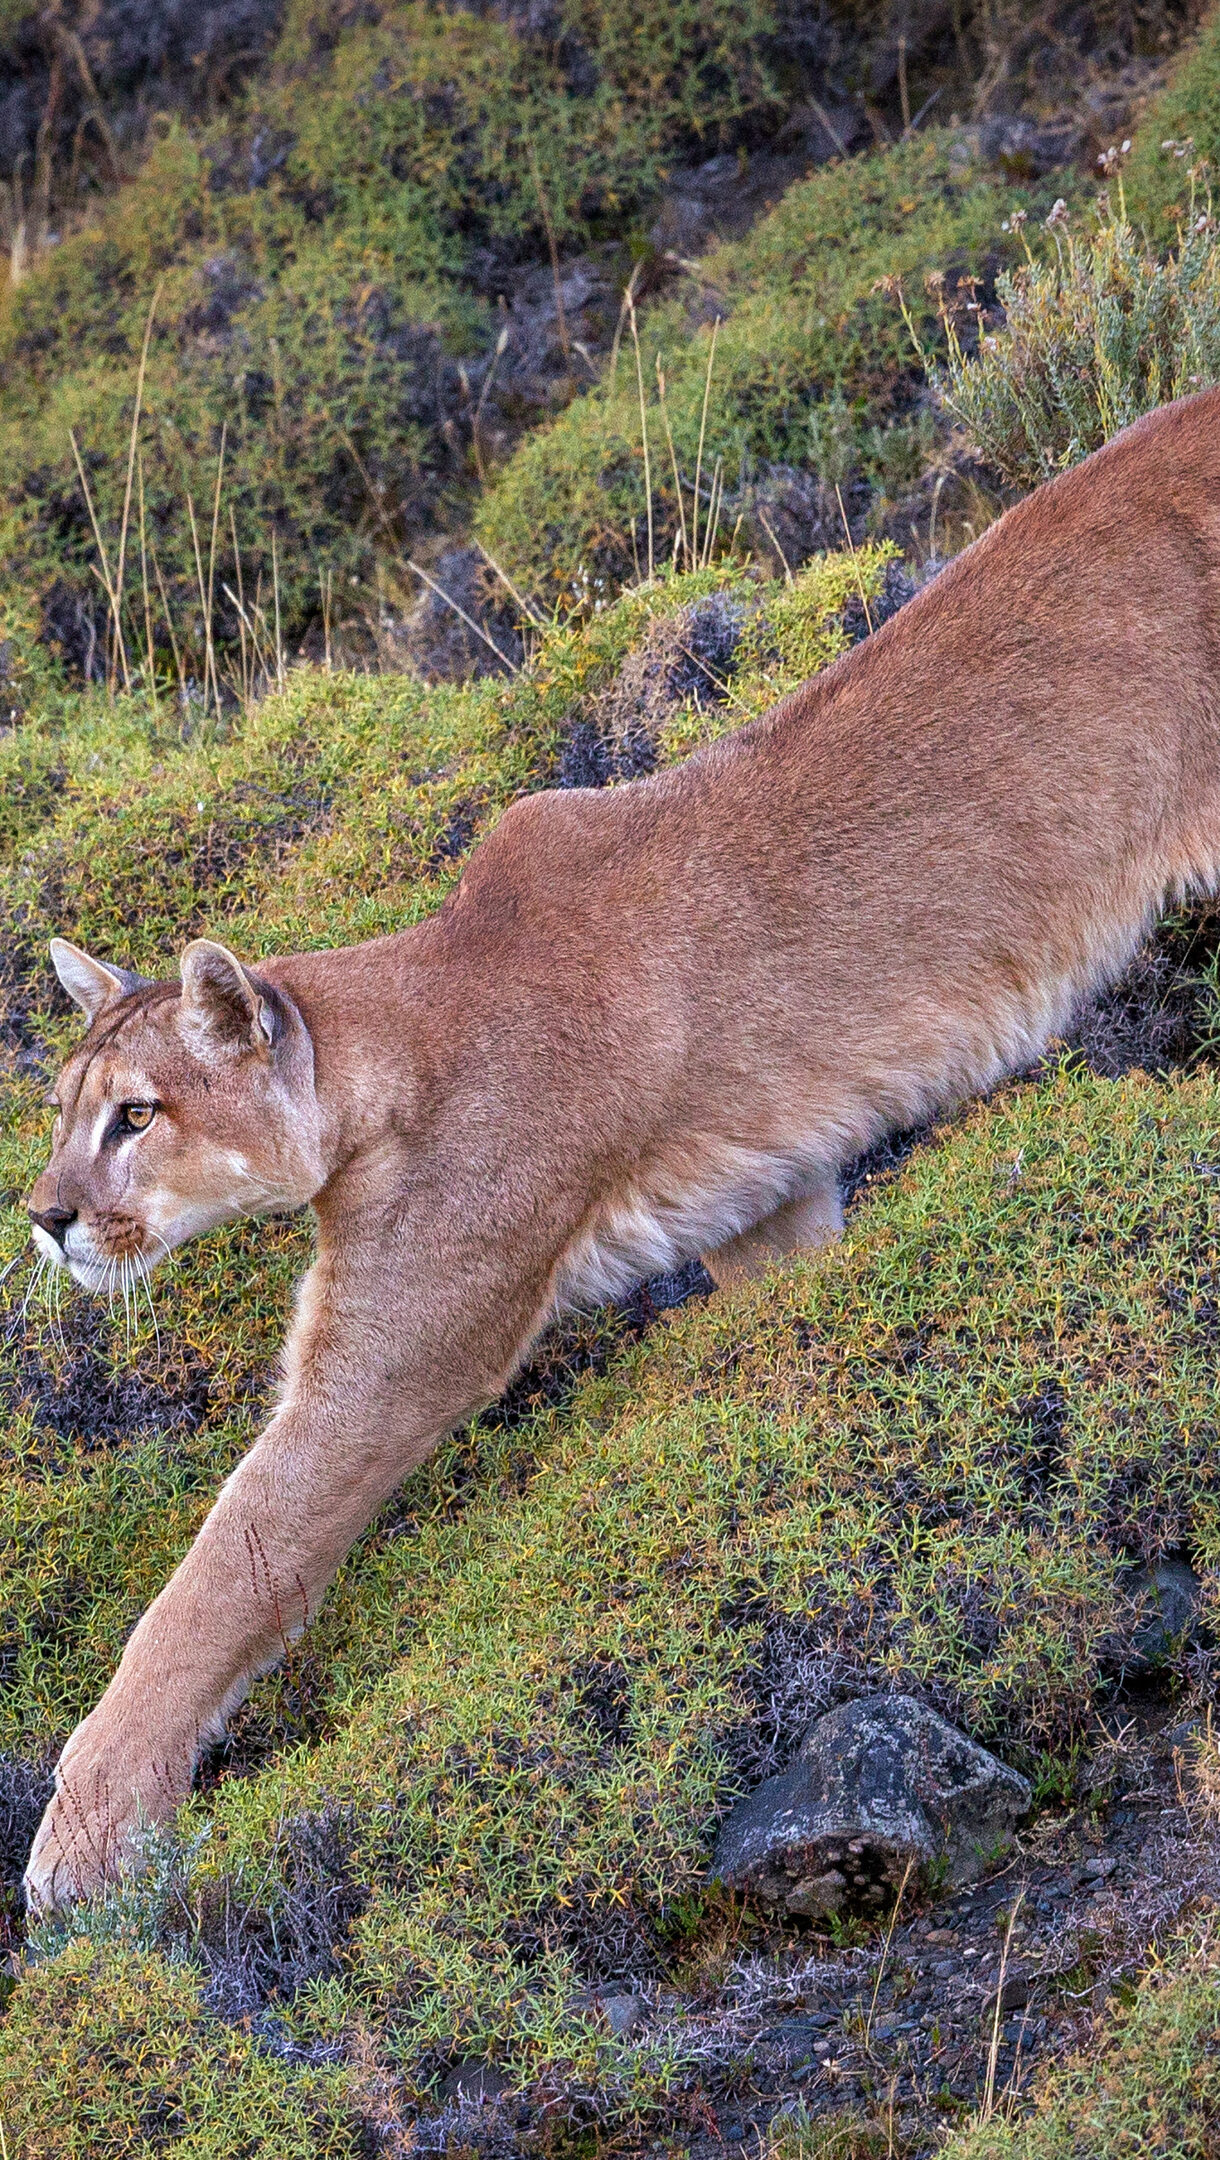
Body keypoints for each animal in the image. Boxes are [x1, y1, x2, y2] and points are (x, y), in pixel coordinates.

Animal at [22, 389, 1220, 1909]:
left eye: (137, 1115)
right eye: (66, 1111)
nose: (46, 1216)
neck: (378, 1067)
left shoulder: (393, 1355)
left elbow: (222, 1574)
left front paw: (86, 1835)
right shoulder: (765, 1195)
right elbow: (797, 1312)